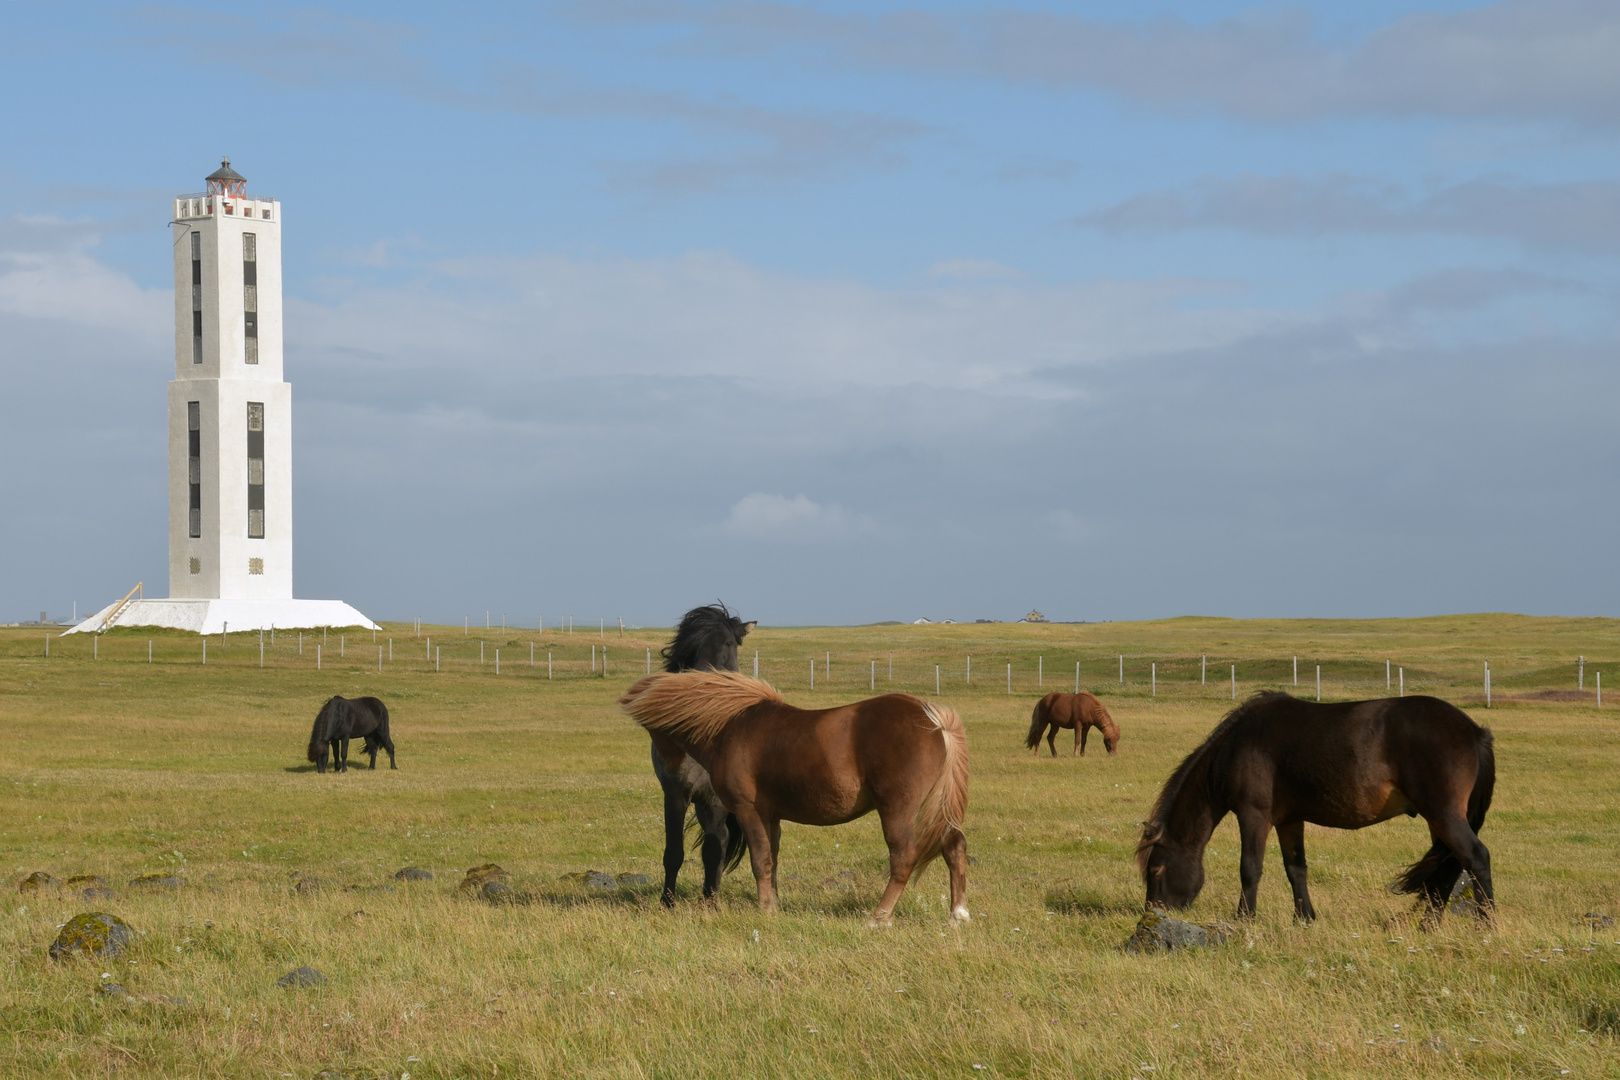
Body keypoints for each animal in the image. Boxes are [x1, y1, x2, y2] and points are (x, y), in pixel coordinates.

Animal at [618, 670, 965, 926]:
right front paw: (773, 904)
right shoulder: (770, 816)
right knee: (954, 846)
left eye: (652, 729)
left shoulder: (749, 810)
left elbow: (760, 860)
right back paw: (957, 915)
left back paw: (879, 917)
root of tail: (936, 723)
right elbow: (771, 860)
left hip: (897, 809)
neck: (730, 727)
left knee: (903, 857)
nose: (672, 771)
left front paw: (765, 910)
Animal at [648, 605, 754, 906]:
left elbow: (713, 850)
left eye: (729, 643)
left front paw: (710, 902)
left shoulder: (716, 798)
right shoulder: (676, 793)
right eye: (691, 647)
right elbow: (674, 852)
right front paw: (667, 902)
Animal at [1140, 696, 1490, 926]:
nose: (1152, 912)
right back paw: (1429, 925)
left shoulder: (1254, 815)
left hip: (1443, 814)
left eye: (1155, 871)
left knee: (1476, 858)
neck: (1236, 746)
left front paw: (1244, 918)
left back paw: (1485, 924)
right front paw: (1304, 918)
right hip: (1438, 820)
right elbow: (1296, 869)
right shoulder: (1289, 821)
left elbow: (1250, 868)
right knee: (1449, 865)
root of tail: (1474, 729)